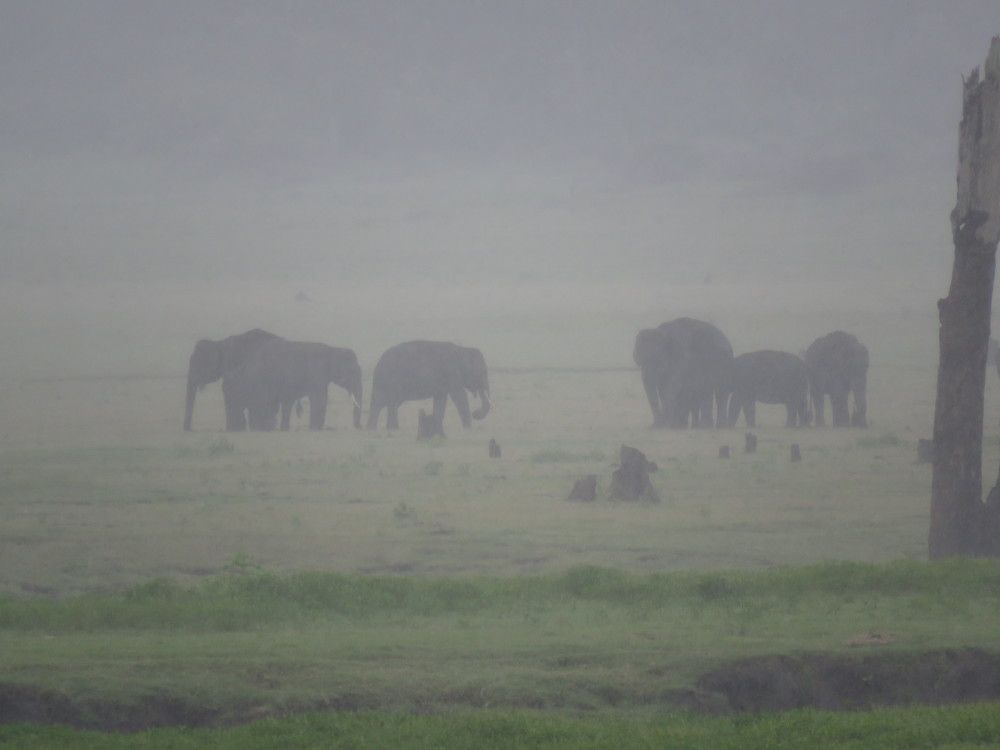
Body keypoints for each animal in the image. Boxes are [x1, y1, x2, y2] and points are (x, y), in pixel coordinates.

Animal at [222, 339, 363, 431]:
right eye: (352, 371)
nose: (358, 427)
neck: (333, 349)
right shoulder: (316, 373)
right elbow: (319, 399)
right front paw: (315, 429)